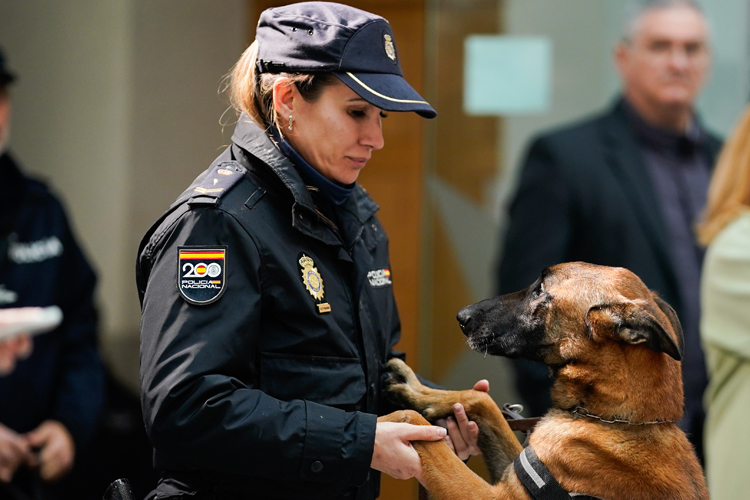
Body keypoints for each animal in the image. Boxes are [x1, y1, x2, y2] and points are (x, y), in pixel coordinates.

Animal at [382, 264, 712, 498]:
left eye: (539, 289)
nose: (461, 317)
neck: (613, 421)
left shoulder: (493, 496)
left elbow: (418, 428)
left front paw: (386, 426)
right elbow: (482, 399)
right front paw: (420, 391)